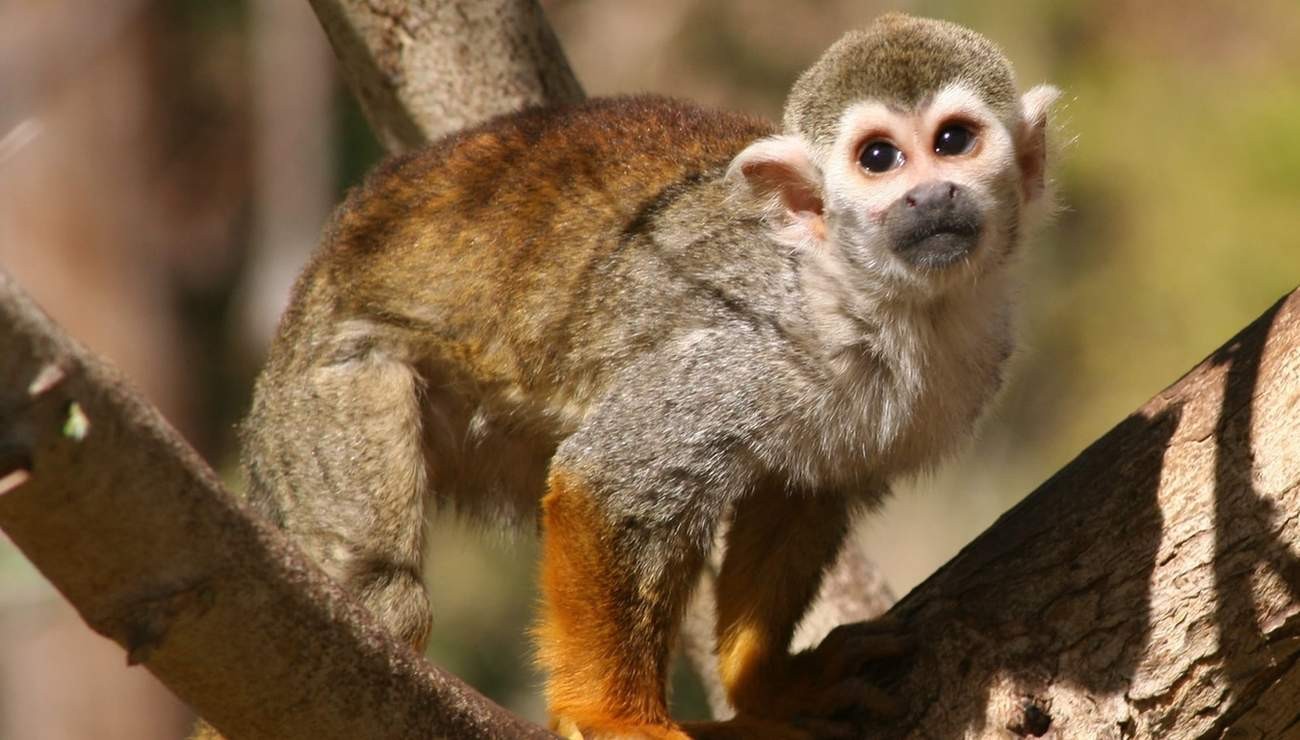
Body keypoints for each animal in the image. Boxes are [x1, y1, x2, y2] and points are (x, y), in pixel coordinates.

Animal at [229, 12, 1059, 740]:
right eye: (879, 159)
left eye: (952, 141)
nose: (931, 195)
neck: (882, 301)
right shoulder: (744, 348)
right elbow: (613, 479)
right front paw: (611, 717)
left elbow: (801, 494)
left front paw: (771, 687)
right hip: (330, 385)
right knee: (382, 592)